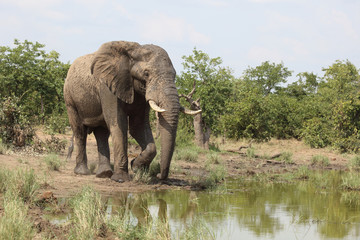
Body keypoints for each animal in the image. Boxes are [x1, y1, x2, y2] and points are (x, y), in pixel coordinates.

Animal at [63, 40, 198, 182]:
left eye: (174, 75)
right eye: (146, 73)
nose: (158, 175)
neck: (133, 51)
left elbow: (138, 127)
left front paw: (136, 167)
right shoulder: (108, 87)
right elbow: (119, 125)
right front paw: (121, 179)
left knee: (102, 133)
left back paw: (104, 174)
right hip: (70, 99)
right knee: (80, 131)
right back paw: (83, 172)